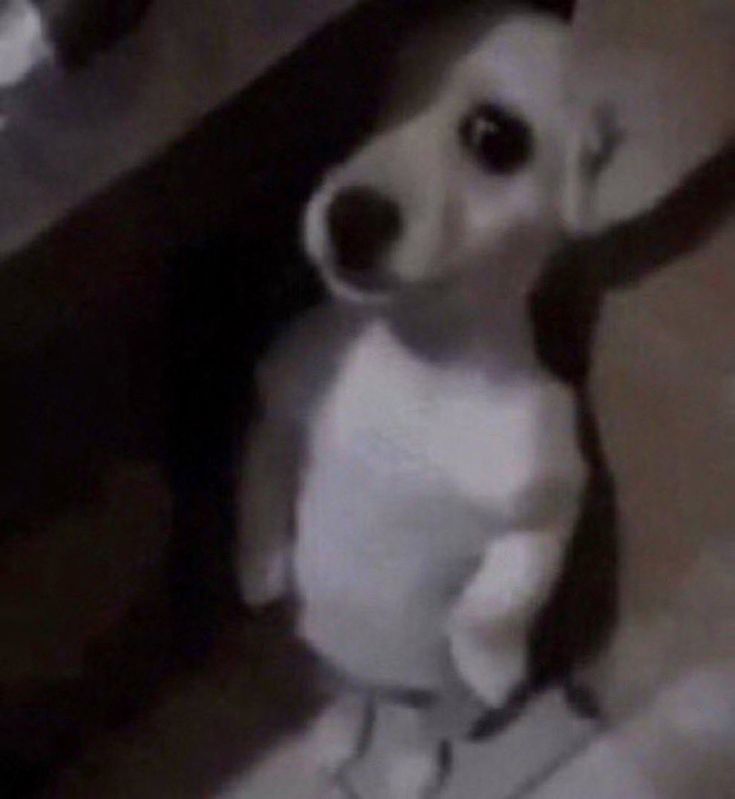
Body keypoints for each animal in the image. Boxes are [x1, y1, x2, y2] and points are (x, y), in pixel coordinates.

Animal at [239, 7, 612, 799]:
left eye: (496, 137)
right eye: (381, 107)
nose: (348, 213)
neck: (421, 358)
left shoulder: (547, 502)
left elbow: (501, 596)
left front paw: (493, 659)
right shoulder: (278, 404)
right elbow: (259, 478)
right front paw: (259, 567)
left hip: (427, 693)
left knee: (416, 718)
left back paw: (412, 763)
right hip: (326, 650)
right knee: (344, 689)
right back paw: (337, 731)